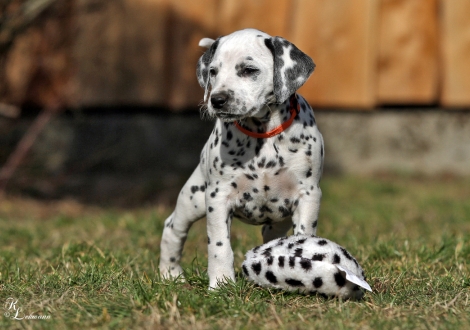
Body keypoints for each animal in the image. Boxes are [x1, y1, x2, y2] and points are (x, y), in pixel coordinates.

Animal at [160, 29, 324, 290]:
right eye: (213, 72)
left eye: (248, 70)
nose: (216, 100)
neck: (262, 134)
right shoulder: (218, 198)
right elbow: (219, 246)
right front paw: (221, 284)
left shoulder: (308, 195)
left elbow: (304, 236)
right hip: (193, 198)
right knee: (173, 228)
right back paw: (170, 273)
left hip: (278, 220)